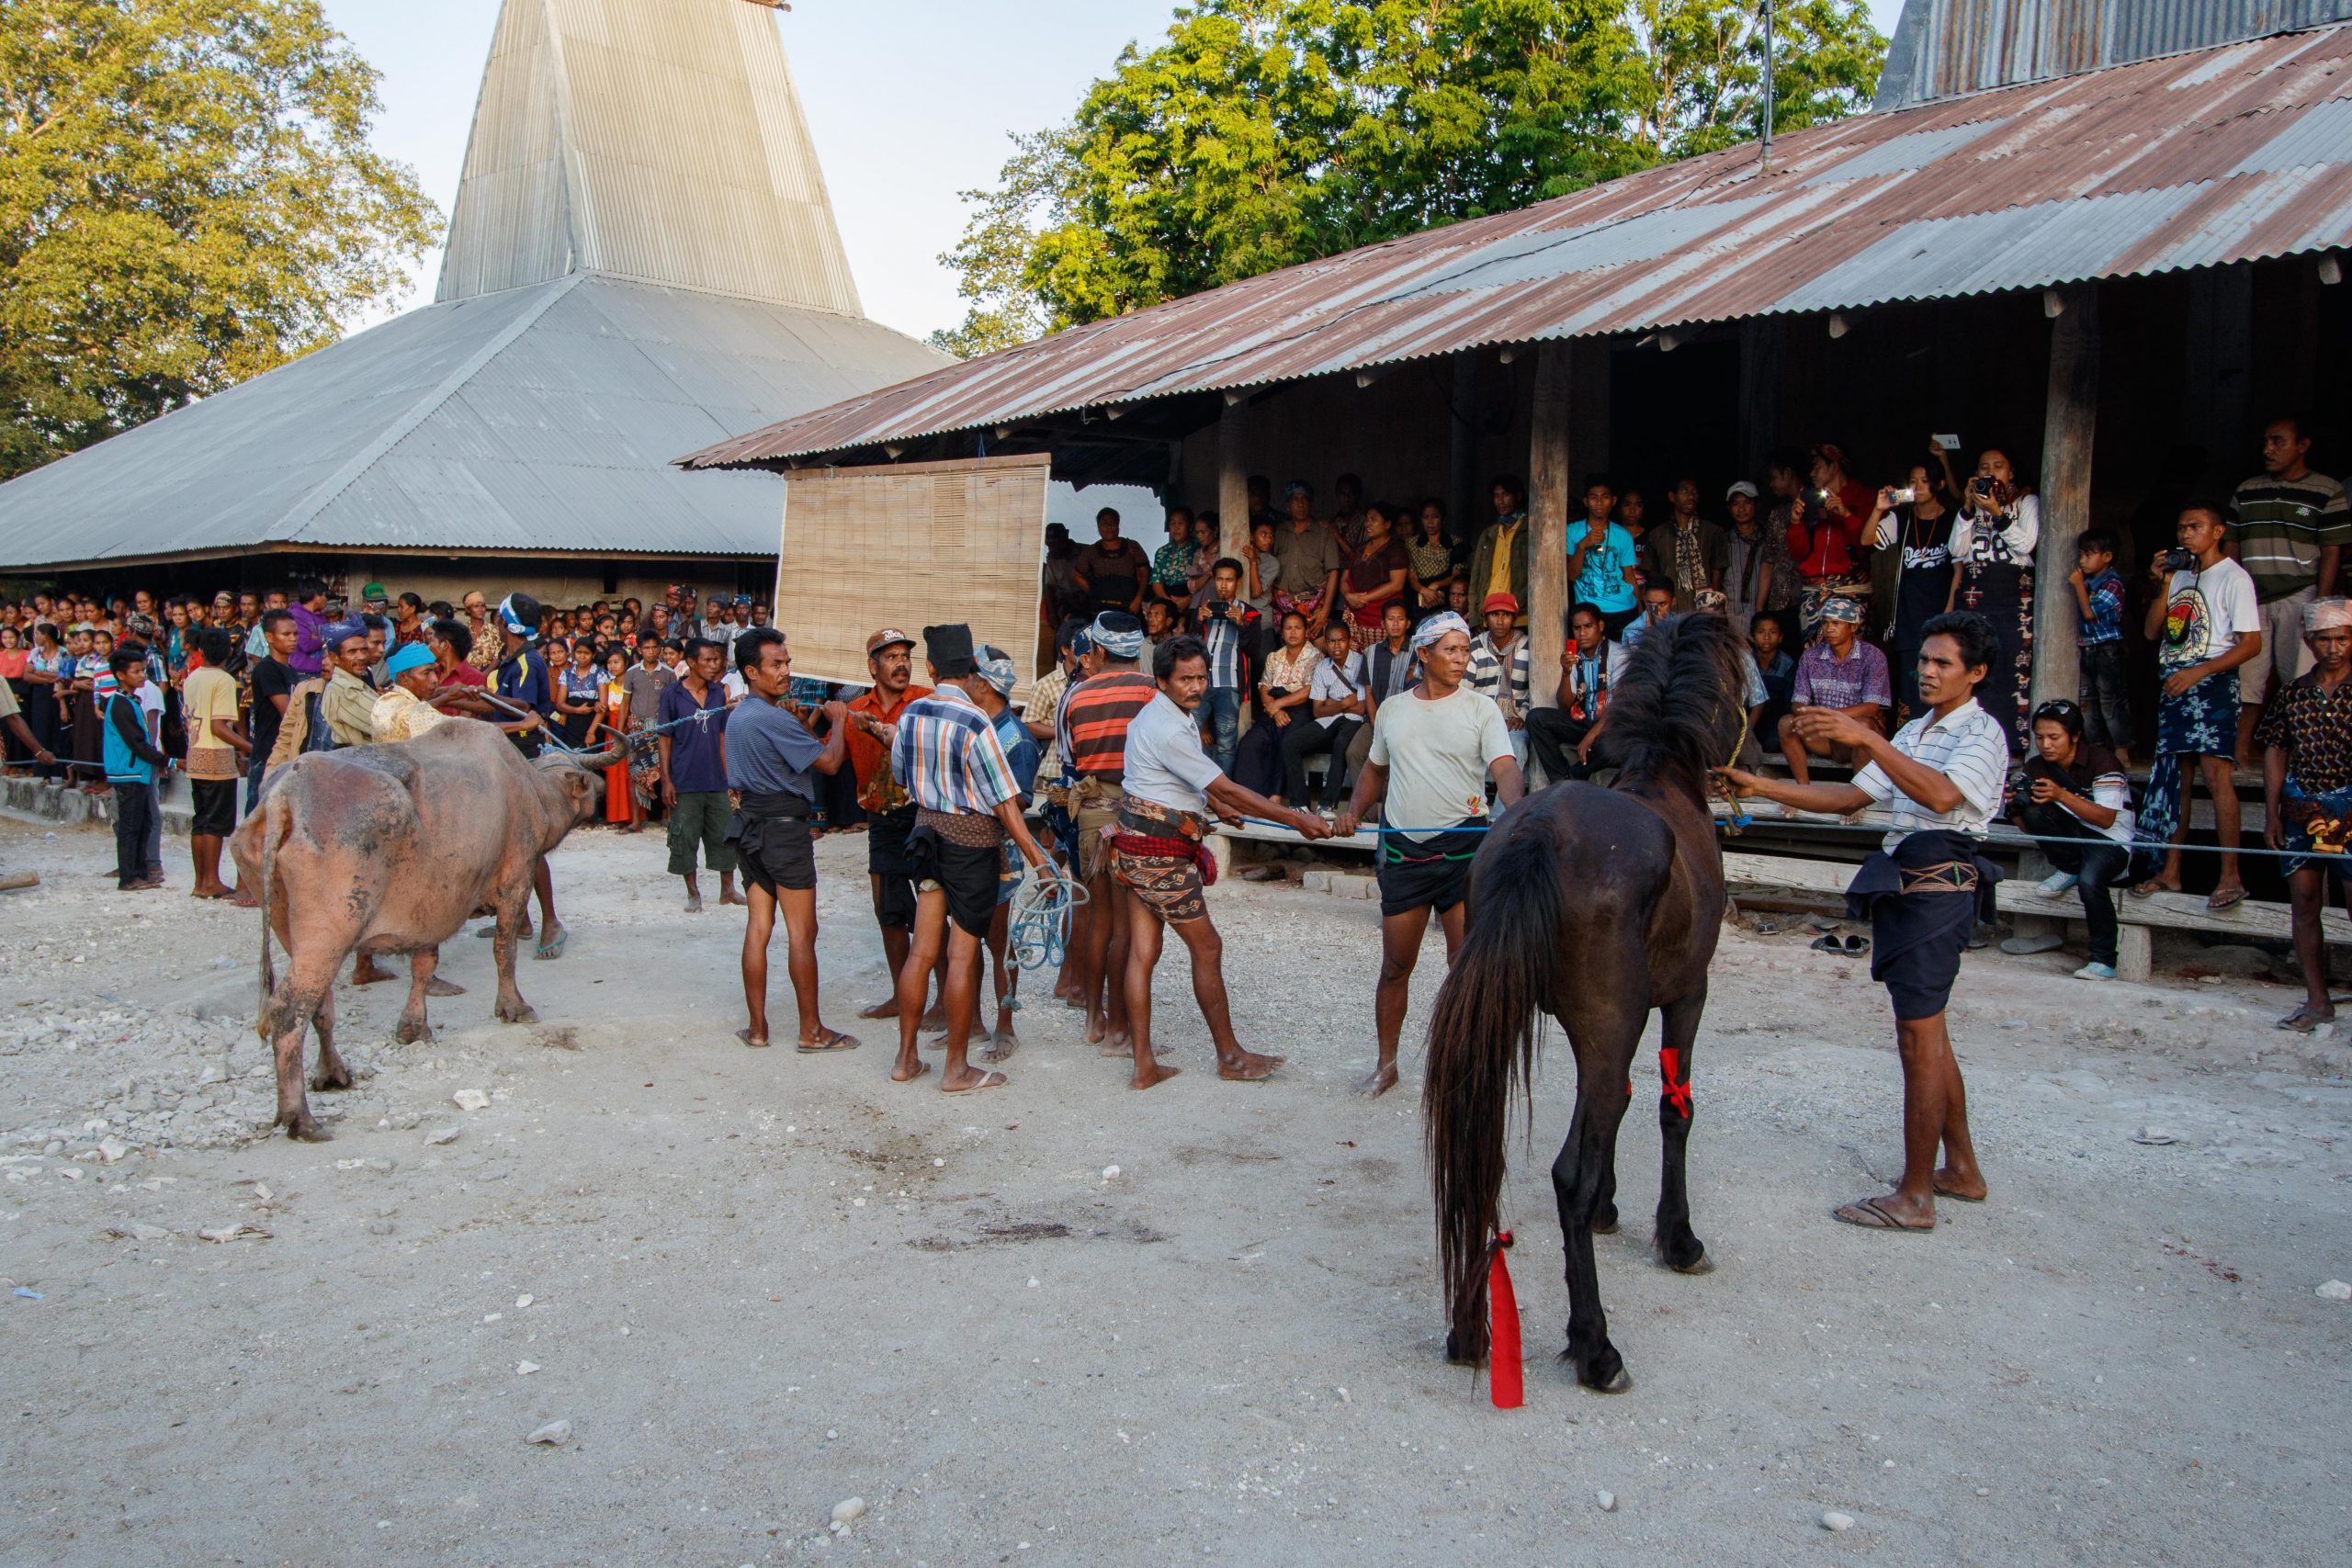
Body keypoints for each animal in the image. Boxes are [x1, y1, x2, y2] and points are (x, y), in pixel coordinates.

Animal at [232, 719, 625, 1142]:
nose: (601, 791)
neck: (529, 788)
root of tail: (284, 796)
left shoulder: (432, 906)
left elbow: (424, 964)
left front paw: (413, 1027)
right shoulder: (516, 880)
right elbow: (504, 949)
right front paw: (513, 1007)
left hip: (289, 930)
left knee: (320, 1006)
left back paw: (332, 1073)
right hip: (329, 935)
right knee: (289, 1010)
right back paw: (300, 1117)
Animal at [1411, 611, 1749, 1401]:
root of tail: (1540, 832)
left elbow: (1620, 1102)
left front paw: (1611, 1209)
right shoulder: (1686, 995)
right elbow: (1672, 1108)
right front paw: (1677, 1236)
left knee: (1481, 1157)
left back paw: (1469, 1332)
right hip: (1611, 1022)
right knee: (1567, 1173)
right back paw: (1597, 1347)